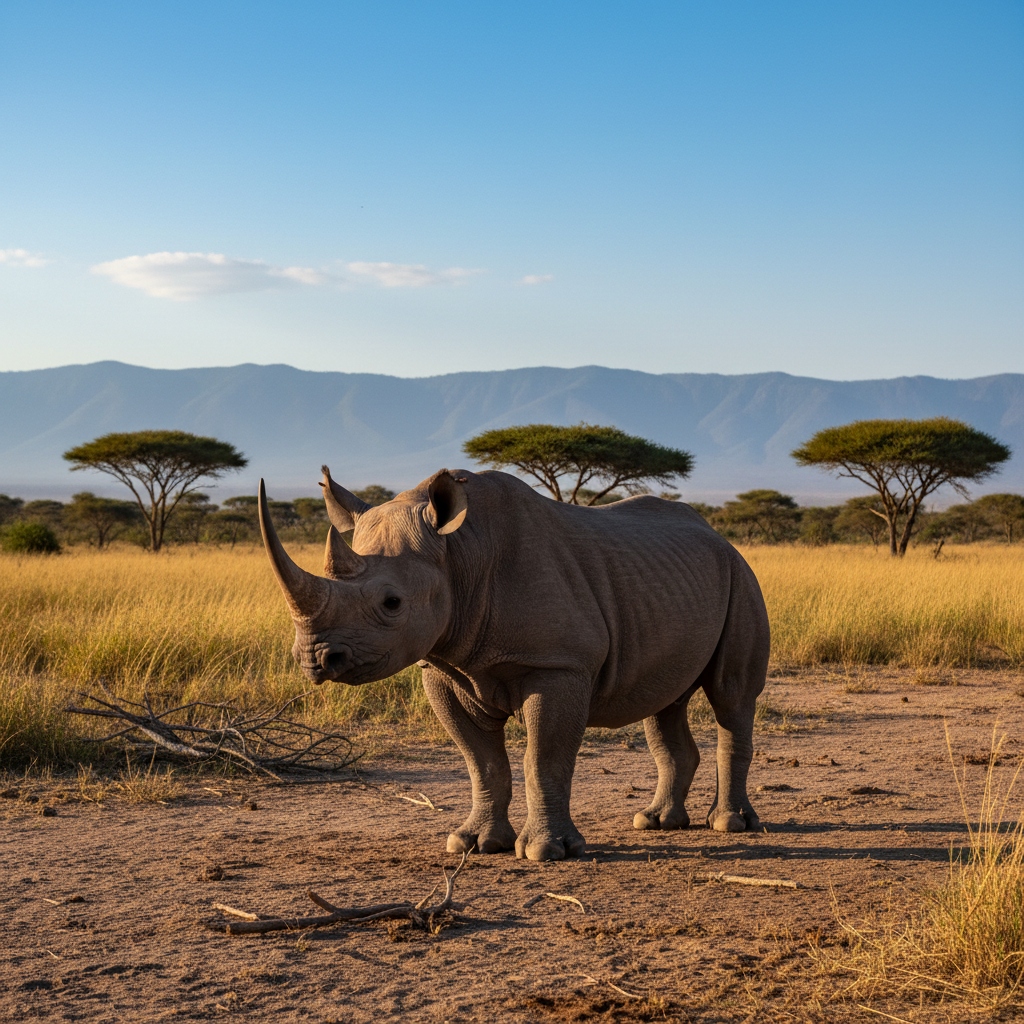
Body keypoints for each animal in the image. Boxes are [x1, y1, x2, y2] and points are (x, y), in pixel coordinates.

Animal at [259, 465, 770, 861]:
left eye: (392, 603)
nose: (316, 659)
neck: (458, 554)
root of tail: (721, 538)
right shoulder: (442, 667)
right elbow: (481, 762)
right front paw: (473, 844)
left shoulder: (558, 665)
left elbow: (543, 758)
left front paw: (547, 851)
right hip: (671, 582)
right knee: (665, 702)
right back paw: (655, 822)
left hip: (741, 577)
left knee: (731, 696)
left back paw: (730, 824)